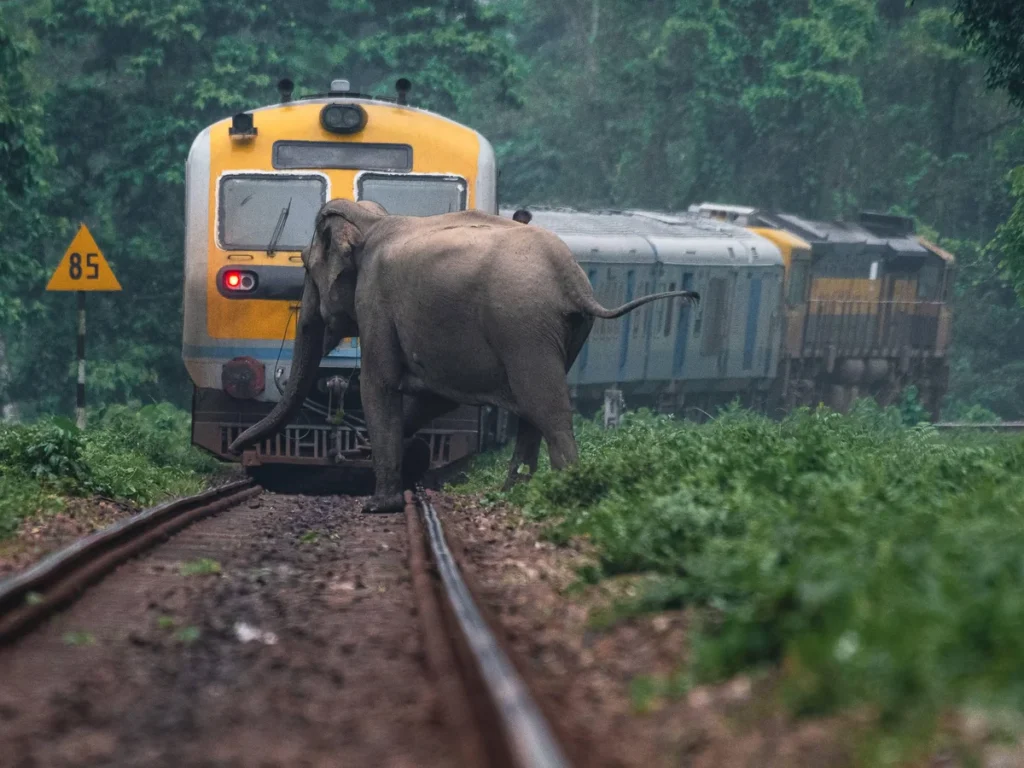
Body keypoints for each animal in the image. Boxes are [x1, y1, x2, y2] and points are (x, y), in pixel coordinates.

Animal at [230, 199, 699, 513]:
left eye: (306, 268)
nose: (236, 448)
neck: (372, 220)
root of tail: (573, 279)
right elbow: (434, 397)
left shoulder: (376, 299)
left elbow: (378, 385)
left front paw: (378, 505)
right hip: (568, 331)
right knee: (534, 412)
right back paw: (512, 492)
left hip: (522, 325)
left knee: (546, 409)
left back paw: (565, 494)